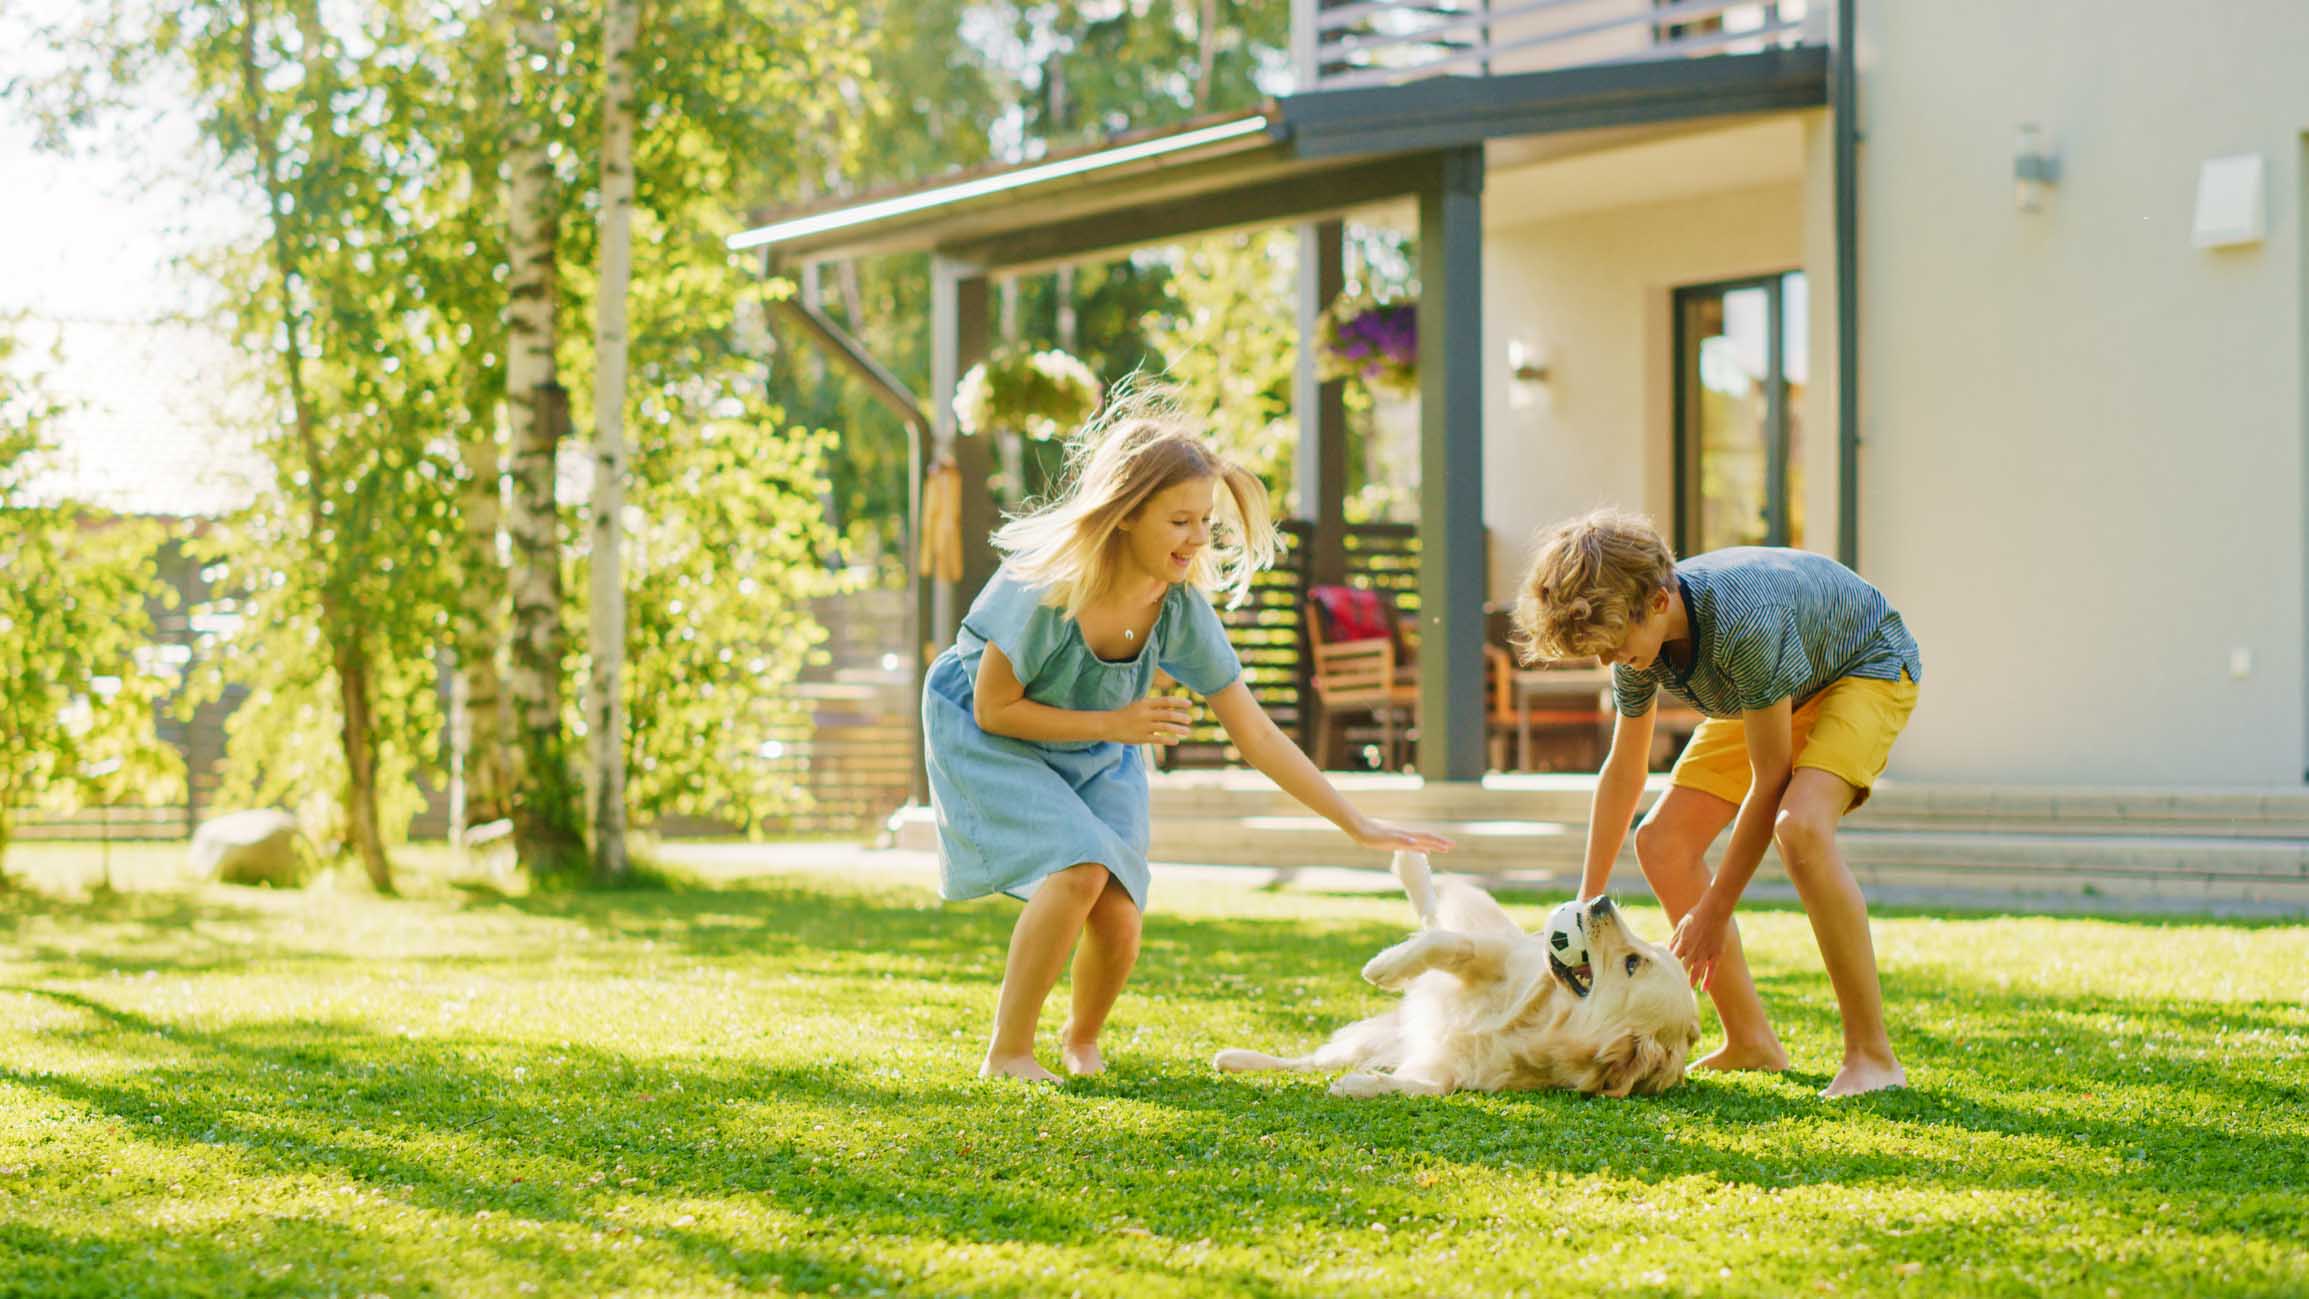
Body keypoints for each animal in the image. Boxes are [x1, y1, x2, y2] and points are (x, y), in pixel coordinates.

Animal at [1219, 853, 1708, 1098]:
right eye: (1647, 949)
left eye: (1632, 963)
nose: (1601, 901)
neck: (1542, 1023)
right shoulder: (1503, 954)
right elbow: (1449, 943)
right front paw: (1384, 967)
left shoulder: (1451, 1068)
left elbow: (1423, 1088)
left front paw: (1362, 1085)